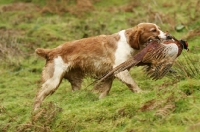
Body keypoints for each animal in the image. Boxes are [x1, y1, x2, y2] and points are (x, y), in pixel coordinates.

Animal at [34, 22, 167, 110]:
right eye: (153, 30)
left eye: (159, 29)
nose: (168, 36)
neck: (128, 42)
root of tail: (50, 52)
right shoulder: (120, 71)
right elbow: (133, 83)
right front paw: (142, 93)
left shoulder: (109, 73)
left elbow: (105, 90)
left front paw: (100, 100)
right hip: (53, 81)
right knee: (38, 97)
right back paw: (36, 113)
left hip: (75, 81)